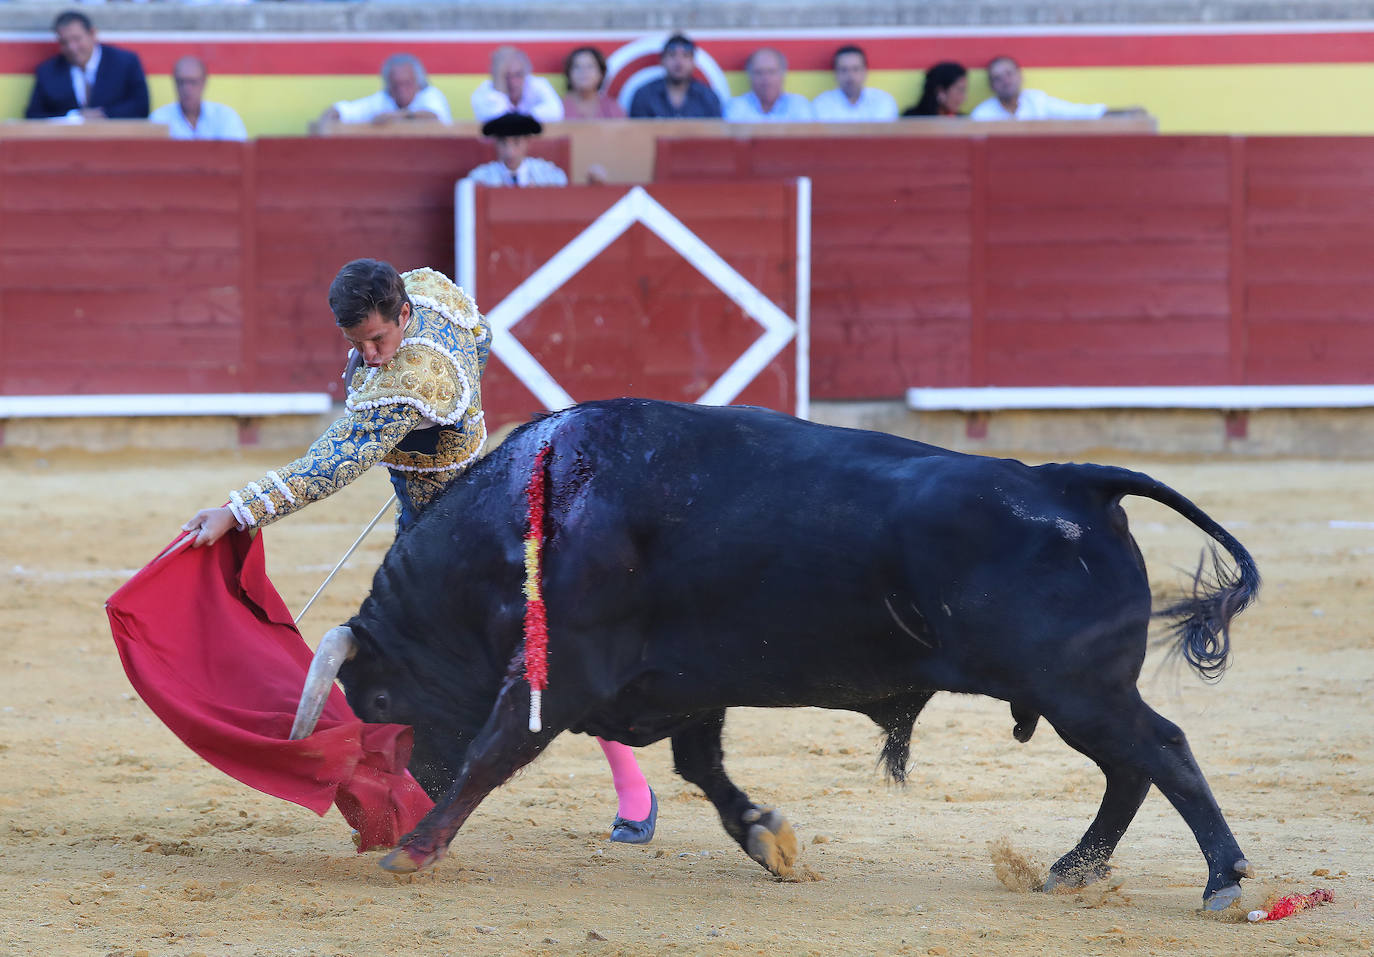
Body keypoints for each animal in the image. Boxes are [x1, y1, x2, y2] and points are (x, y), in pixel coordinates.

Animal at [289, 398, 1258, 906]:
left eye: (380, 706)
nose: (380, 820)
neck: (535, 515)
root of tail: (1069, 482)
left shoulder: (562, 673)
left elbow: (496, 749)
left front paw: (415, 849)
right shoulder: (684, 684)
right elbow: (703, 768)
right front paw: (768, 838)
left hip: (1076, 686)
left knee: (1160, 749)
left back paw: (1223, 878)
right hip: (1074, 694)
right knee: (1130, 766)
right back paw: (1073, 867)